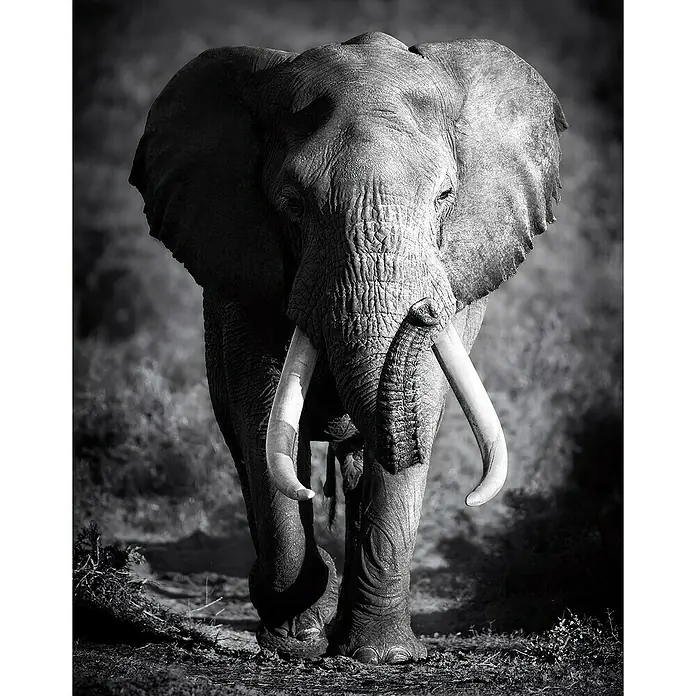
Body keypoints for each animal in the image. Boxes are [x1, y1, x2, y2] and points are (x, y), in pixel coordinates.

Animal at [129, 31, 566, 664]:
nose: (422, 311)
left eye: (446, 196)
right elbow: (262, 417)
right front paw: (295, 643)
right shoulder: (244, 274)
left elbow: (418, 411)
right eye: (291, 202)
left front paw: (383, 656)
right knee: (244, 446)